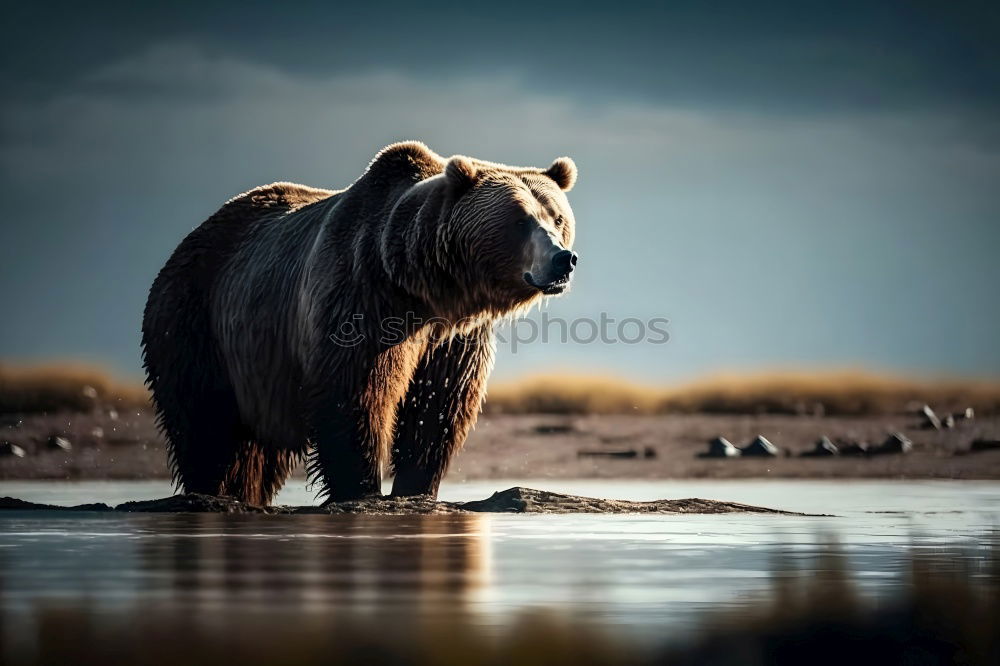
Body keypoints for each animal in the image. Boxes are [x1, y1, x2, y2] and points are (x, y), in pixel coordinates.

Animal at [141, 141, 580, 504]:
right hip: (196, 321)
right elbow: (355, 395)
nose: (564, 259)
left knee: (256, 455)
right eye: (521, 219)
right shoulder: (361, 300)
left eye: (557, 218)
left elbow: (437, 411)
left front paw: (416, 489)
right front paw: (362, 490)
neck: (426, 287)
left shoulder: (453, 340)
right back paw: (208, 490)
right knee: (204, 426)